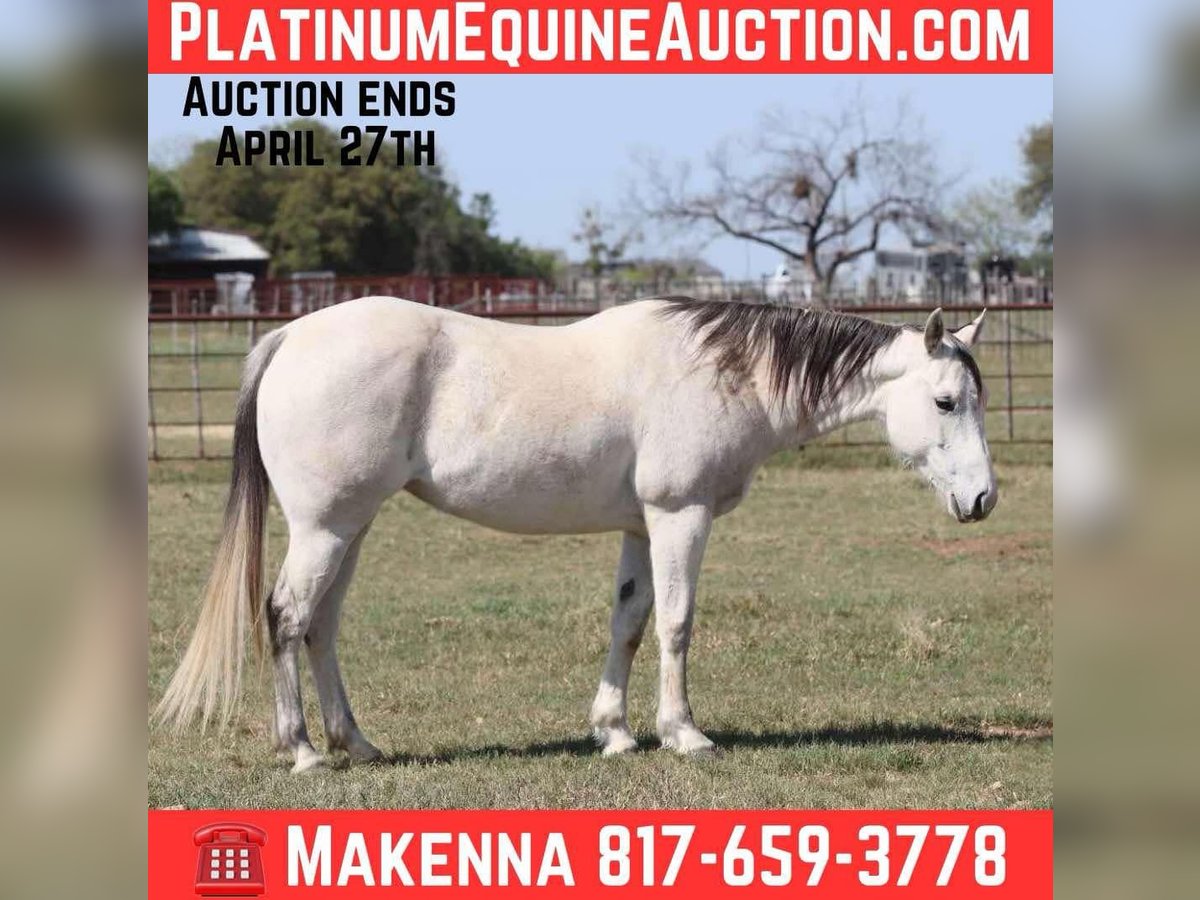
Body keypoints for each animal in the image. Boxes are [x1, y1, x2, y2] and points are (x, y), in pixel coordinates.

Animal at [156, 296, 995, 772]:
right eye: (946, 401)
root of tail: (290, 338)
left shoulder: (641, 526)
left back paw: (355, 745)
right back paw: (301, 750)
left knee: (322, 626)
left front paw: (614, 733)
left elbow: (629, 622)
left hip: (350, 527)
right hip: (324, 527)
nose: (983, 499)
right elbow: (677, 624)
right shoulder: (679, 515)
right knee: (287, 617)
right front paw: (683, 734)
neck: (726, 373)